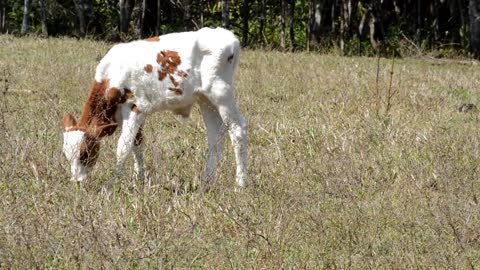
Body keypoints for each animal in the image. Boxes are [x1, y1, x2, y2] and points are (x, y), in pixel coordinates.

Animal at [61, 26, 248, 188]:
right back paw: (208, 181)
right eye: (66, 156)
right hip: (206, 100)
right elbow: (137, 145)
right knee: (214, 136)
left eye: (85, 154)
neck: (112, 75)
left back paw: (240, 183)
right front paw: (139, 179)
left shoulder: (135, 108)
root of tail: (228, 36)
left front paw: (110, 186)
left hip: (221, 94)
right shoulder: (124, 116)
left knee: (238, 130)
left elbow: (123, 148)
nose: (77, 182)